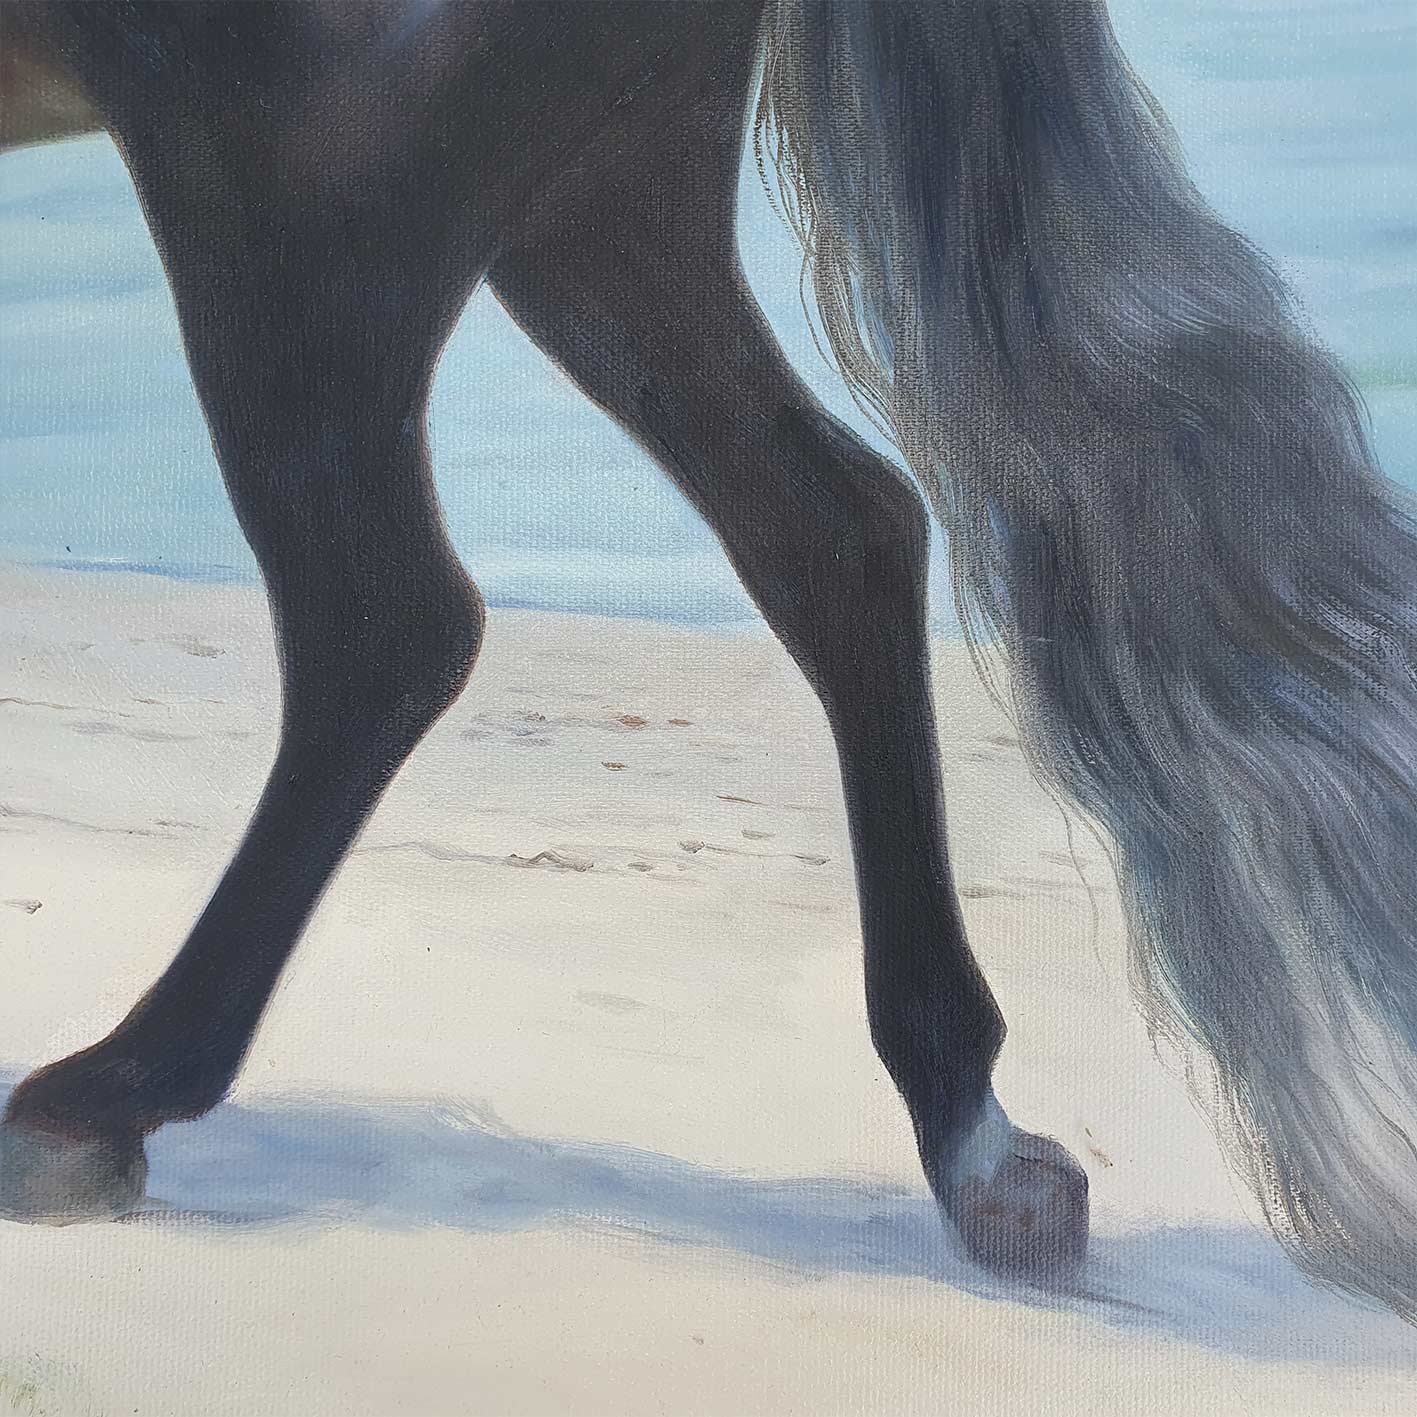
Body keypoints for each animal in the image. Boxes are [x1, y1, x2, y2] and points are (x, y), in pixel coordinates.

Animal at [2, 0, 1415, 1322]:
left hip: (309, 187)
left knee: (386, 627)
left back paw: (108, 1095)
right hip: (602, 192)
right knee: (836, 531)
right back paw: (972, 1130)